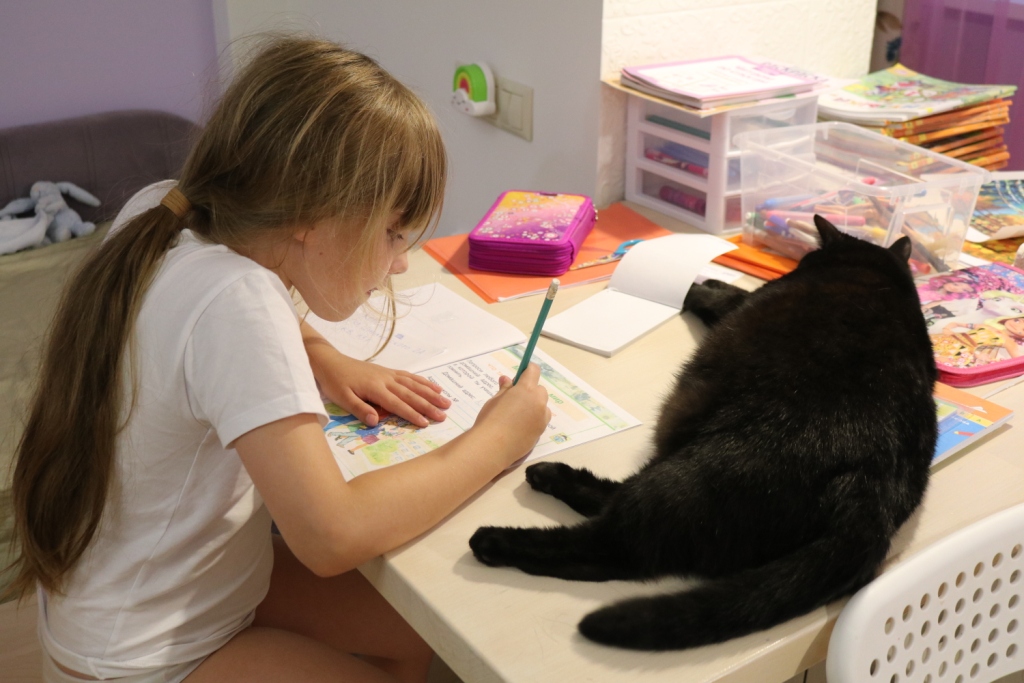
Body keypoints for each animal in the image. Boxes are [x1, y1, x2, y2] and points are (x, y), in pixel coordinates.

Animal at [469, 216, 938, 651]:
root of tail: (869, 483)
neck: (874, 274)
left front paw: (695, 283)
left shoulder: (747, 299)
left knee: (608, 549)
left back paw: (503, 530)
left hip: (681, 475)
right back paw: (549, 478)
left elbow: (717, 293)